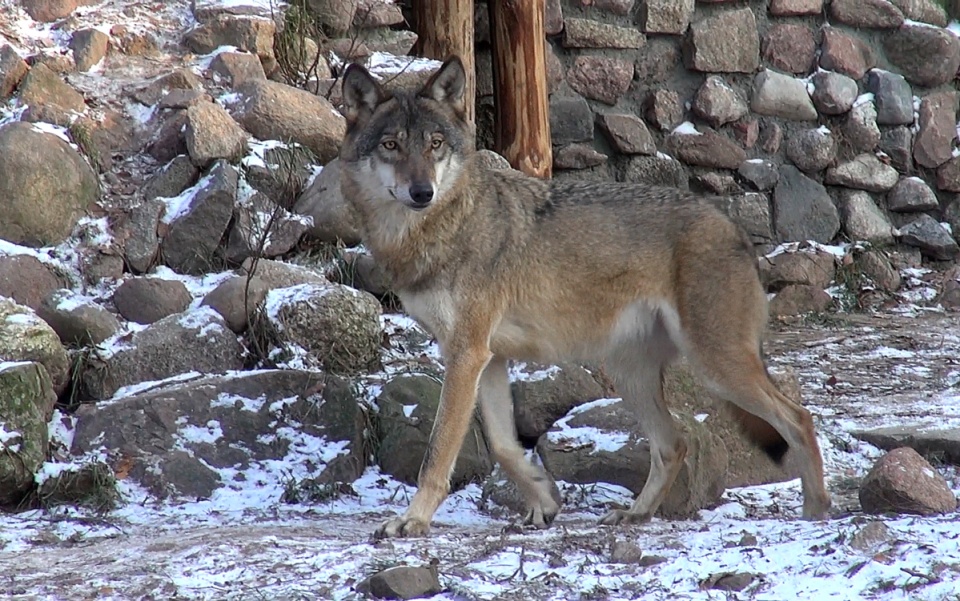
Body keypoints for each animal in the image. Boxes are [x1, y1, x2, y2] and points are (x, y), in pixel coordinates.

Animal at [340, 56, 832, 536]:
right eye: (391, 146)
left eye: (436, 144)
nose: (422, 192)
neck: (439, 228)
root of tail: (733, 226)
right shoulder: (487, 357)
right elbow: (503, 446)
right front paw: (543, 501)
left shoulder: (466, 354)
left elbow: (438, 451)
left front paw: (412, 520)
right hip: (630, 372)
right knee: (674, 444)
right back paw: (635, 515)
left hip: (714, 366)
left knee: (798, 418)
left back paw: (817, 511)